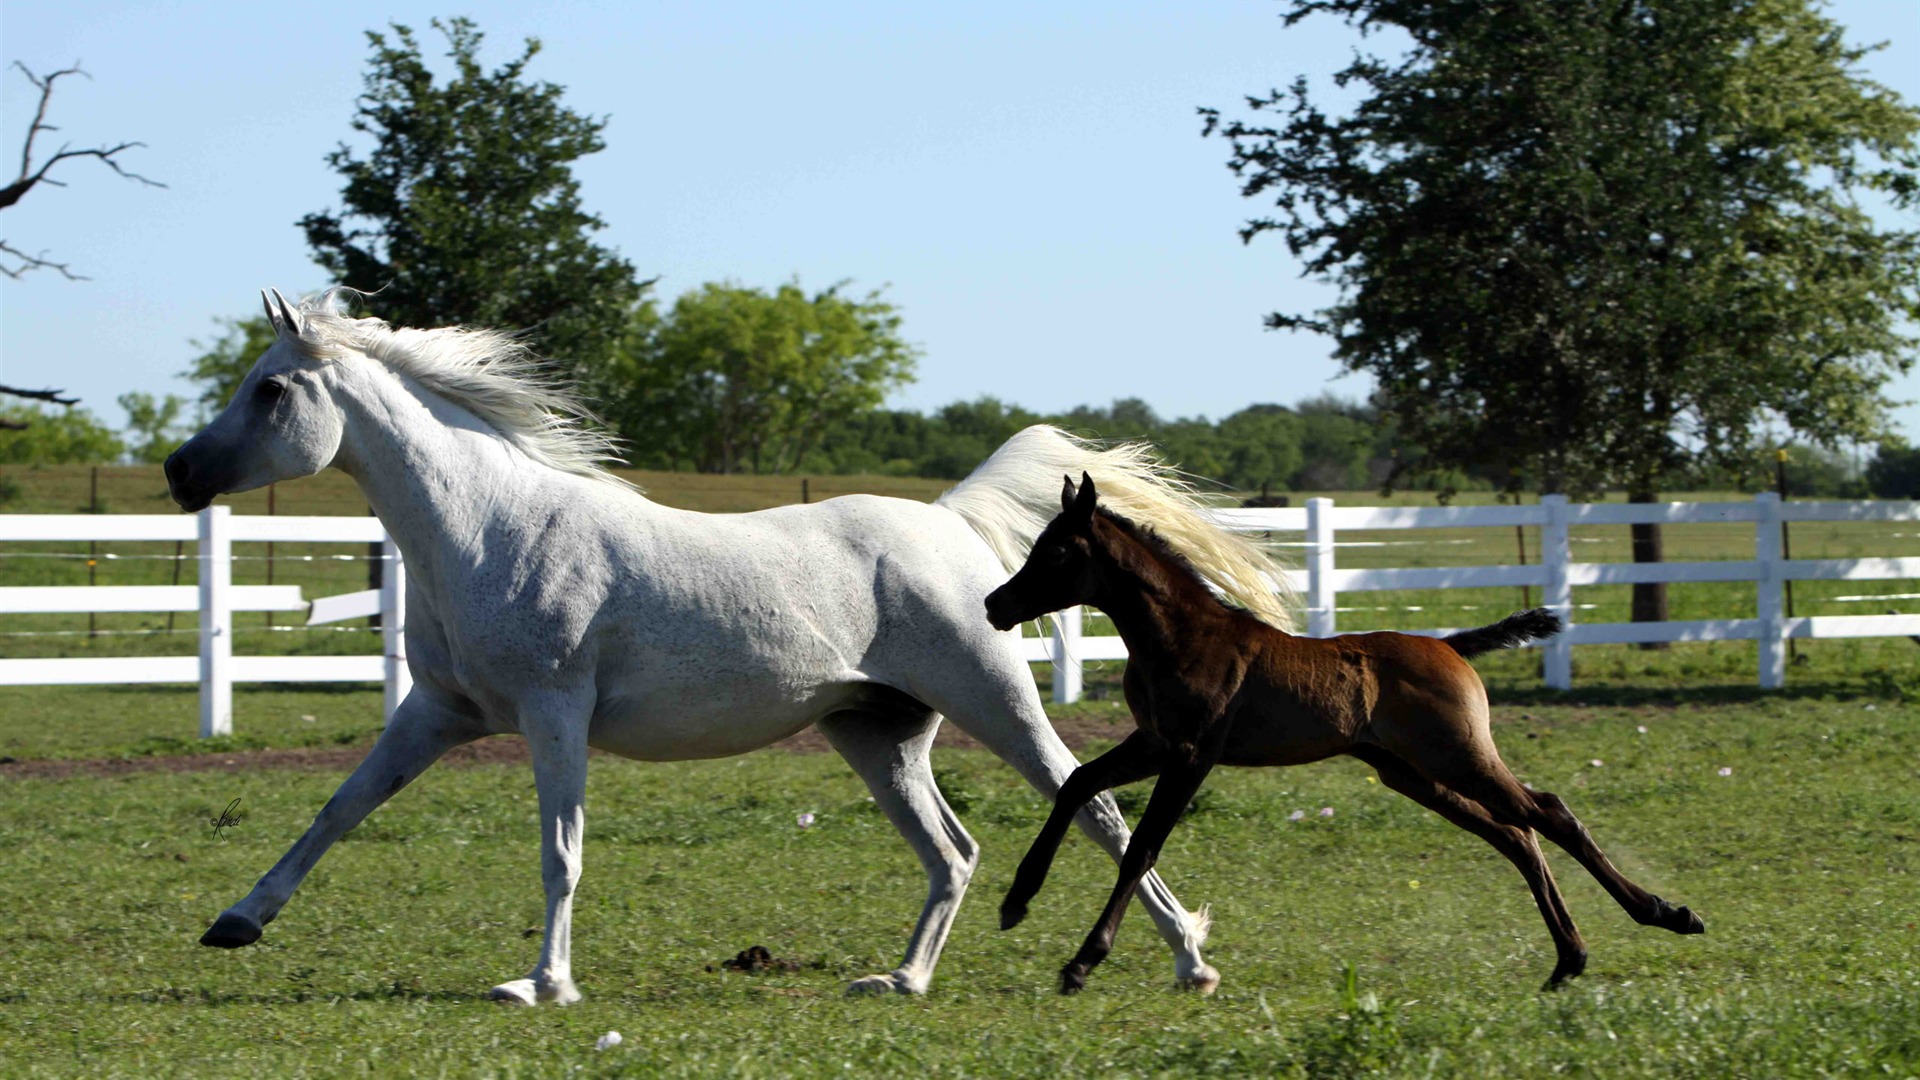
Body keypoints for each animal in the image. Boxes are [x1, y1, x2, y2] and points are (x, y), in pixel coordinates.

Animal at [165, 286, 1297, 999]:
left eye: (271, 388)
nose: (180, 473)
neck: (489, 529)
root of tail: (948, 522)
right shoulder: (442, 712)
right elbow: (339, 809)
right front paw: (235, 922)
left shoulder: (552, 712)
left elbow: (561, 851)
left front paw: (542, 984)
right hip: (876, 734)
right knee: (954, 851)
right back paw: (902, 979)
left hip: (994, 702)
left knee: (1096, 808)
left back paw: (1191, 962)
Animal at [983, 470, 1704, 991]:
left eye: (1055, 550)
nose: (995, 604)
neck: (1183, 635)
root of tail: (1451, 646)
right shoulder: (1154, 742)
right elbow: (1078, 783)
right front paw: (1016, 900)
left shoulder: (1191, 753)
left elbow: (1141, 849)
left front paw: (1082, 961)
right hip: (1415, 773)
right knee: (1515, 834)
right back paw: (1568, 960)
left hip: (1458, 756)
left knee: (1549, 812)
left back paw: (1665, 914)